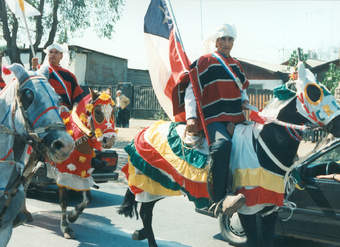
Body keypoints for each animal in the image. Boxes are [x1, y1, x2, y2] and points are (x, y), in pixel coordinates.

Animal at [118, 62, 340, 247]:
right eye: (314, 92)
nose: (338, 124)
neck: (262, 147)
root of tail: (144, 131)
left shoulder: (269, 209)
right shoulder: (248, 210)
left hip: (160, 185)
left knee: (146, 214)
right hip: (149, 185)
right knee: (146, 215)